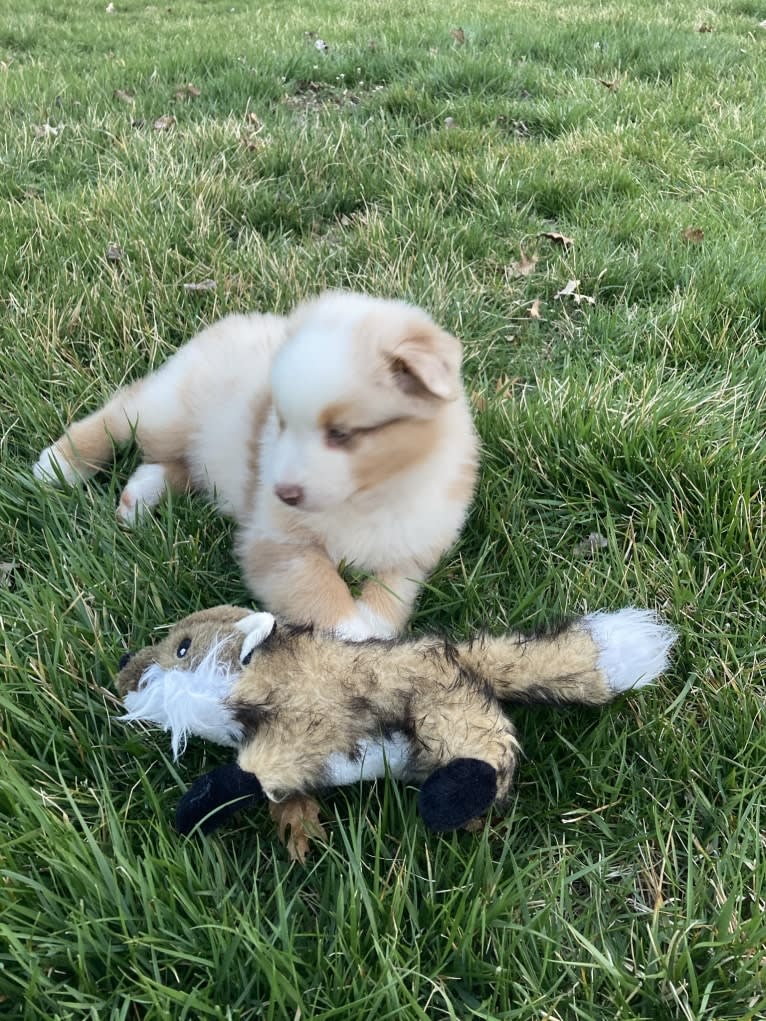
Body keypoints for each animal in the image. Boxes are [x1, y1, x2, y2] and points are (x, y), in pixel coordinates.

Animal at [37, 289, 480, 637]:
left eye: (341, 433)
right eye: (281, 421)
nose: (283, 493)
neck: (371, 496)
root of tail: (230, 322)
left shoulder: (414, 551)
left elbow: (390, 599)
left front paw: (374, 636)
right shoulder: (275, 543)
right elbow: (321, 588)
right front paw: (351, 640)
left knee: (177, 467)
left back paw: (139, 496)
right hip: (169, 410)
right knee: (123, 412)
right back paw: (58, 465)